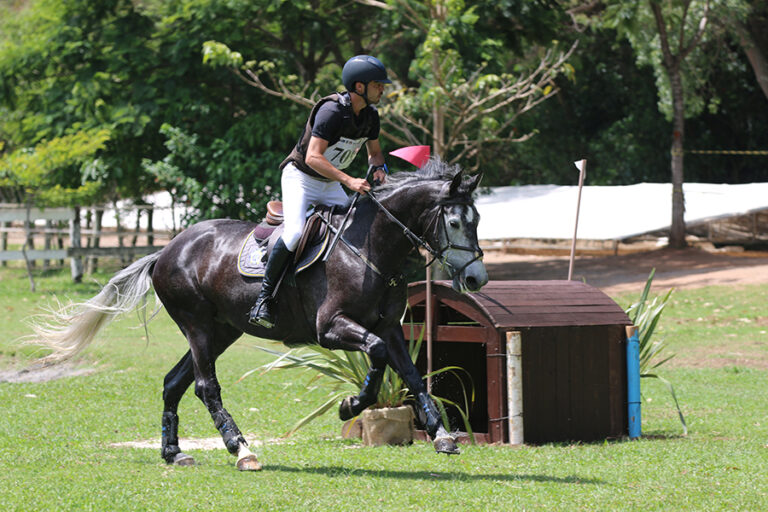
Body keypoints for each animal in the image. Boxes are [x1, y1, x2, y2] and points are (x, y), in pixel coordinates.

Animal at [31, 159, 486, 468]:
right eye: (455, 222)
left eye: (477, 219)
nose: (477, 277)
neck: (370, 246)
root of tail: (166, 250)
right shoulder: (331, 328)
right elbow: (374, 357)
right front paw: (350, 405)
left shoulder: (390, 327)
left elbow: (409, 373)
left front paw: (441, 435)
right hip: (197, 325)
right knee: (205, 386)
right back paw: (240, 448)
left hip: (222, 330)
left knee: (173, 382)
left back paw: (173, 452)